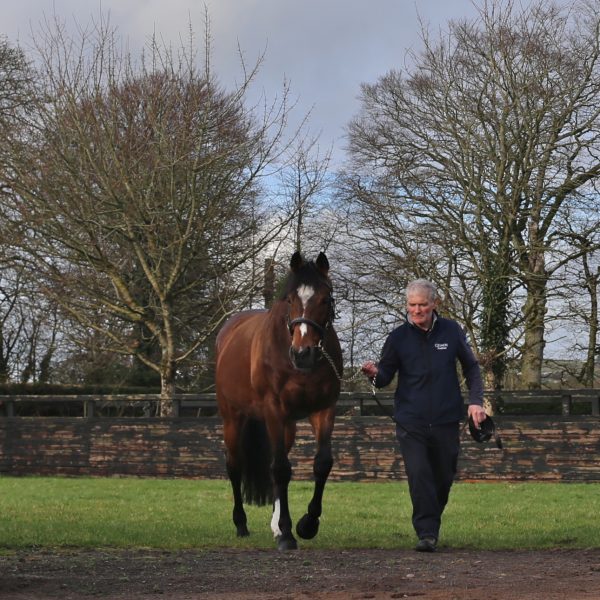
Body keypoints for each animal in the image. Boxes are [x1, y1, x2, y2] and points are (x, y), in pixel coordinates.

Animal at [214, 251, 342, 552]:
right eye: (291, 300)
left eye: (325, 299)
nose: (303, 353)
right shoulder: (274, 410)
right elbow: (281, 469)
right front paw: (286, 534)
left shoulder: (323, 409)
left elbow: (322, 464)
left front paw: (307, 524)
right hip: (233, 417)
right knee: (235, 466)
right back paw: (241, 524)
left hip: (288, 426)